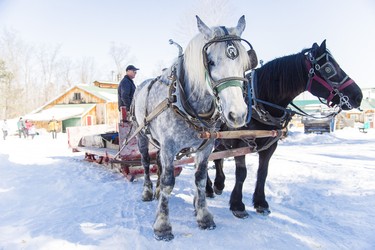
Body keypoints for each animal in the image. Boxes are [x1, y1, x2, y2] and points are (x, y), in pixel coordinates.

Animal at [133, 15, 258, 240]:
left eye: (244, 64)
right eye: (211, 62)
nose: (238, 115)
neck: (184, 101)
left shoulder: (206, 147)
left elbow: (200, 179)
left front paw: (204, 216)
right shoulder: (169, 146)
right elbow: (168, 182)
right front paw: (162, 225)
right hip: (142, 135)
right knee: (146, 162)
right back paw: (148, 191)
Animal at [206, 40, 364, 218]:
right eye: (329, 69)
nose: (358, 96)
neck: (259, 103)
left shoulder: (270, 146)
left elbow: (263, 172)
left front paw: (261, 203)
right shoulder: (241, 143)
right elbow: (242, 173)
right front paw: (237, 205)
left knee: (216, 159)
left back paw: (218, 184)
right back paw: (209, 187)